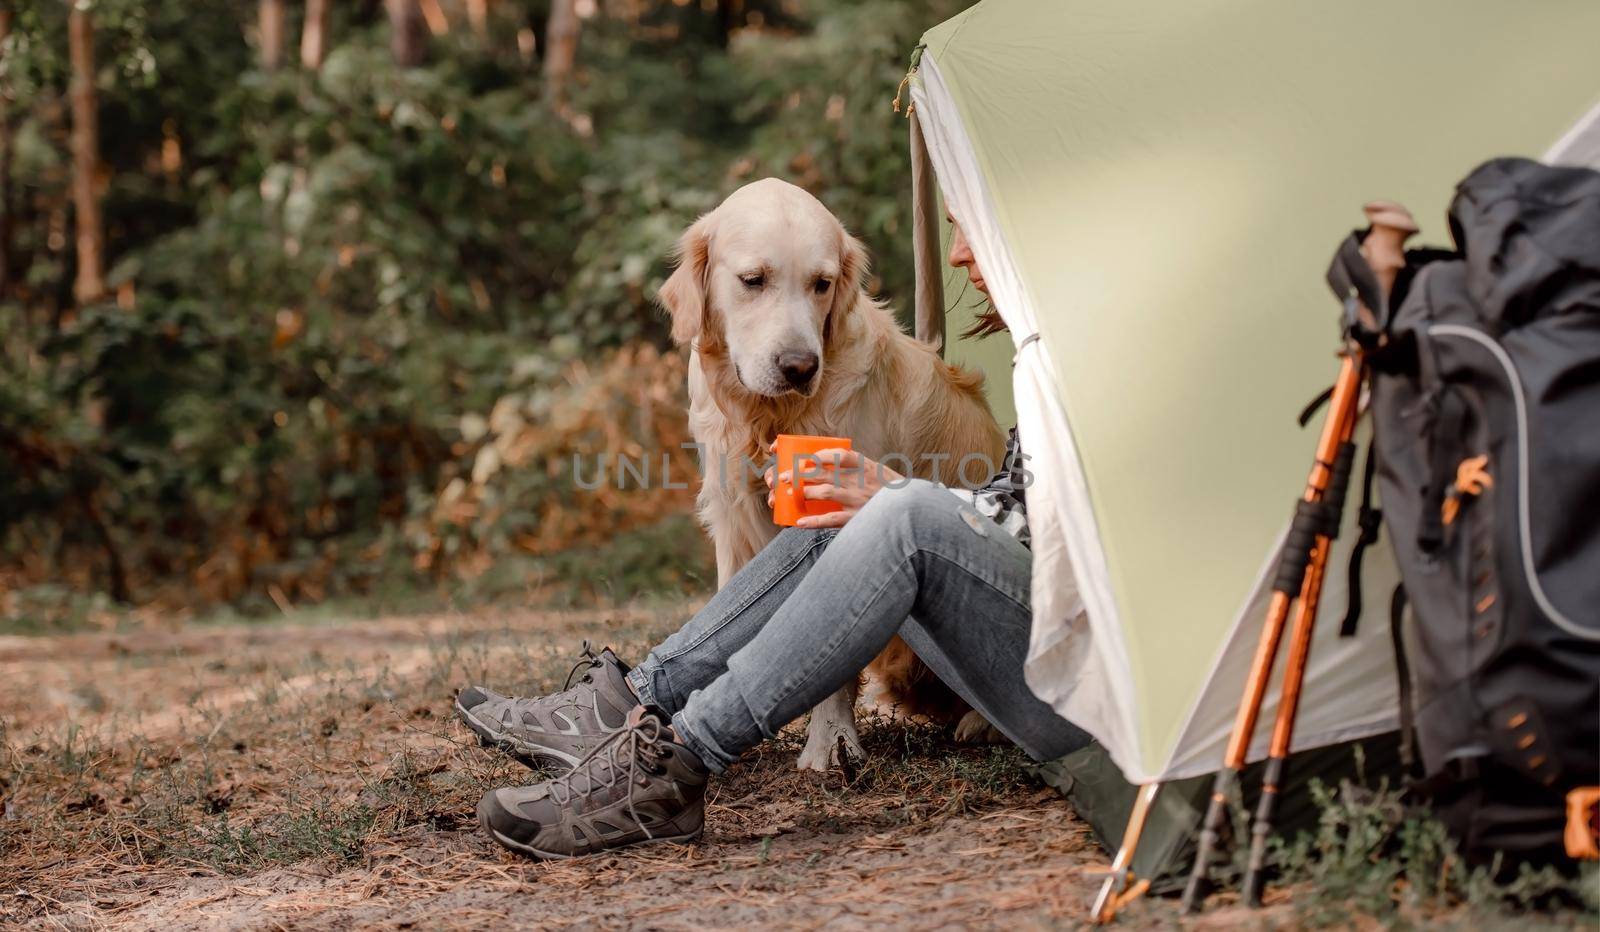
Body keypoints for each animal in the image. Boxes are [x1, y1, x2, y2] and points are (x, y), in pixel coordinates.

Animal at [656, 176, 1004, 775]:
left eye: (821, 284)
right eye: (753, 280)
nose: (800, 367)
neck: (769, 418)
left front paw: (830, 742)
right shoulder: (731, 514)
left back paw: (980, 723)